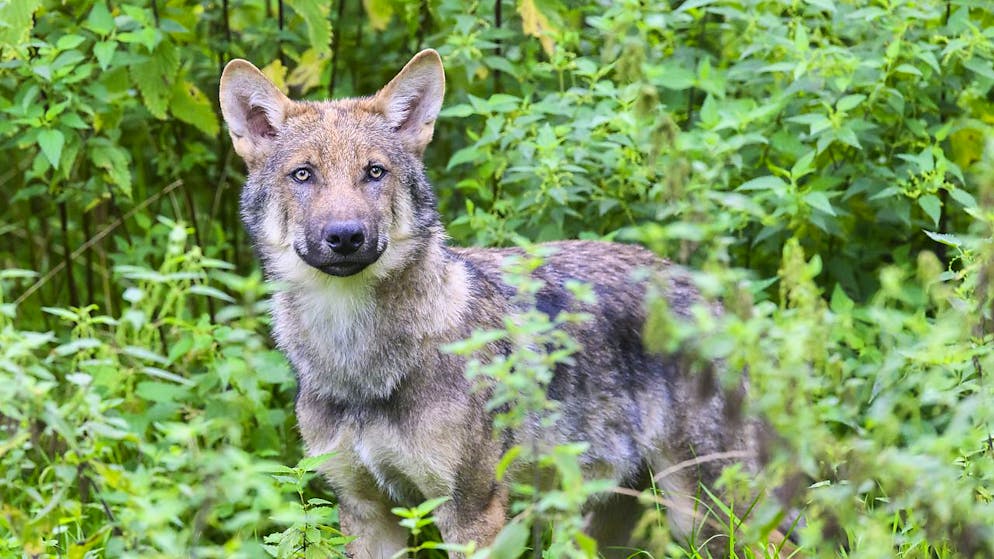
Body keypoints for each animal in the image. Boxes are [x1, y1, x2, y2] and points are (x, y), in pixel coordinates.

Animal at [219, 49, 765, 558]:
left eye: (374, 172)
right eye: (303, 175)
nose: (346, 236)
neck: (358, 362)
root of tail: (707, 292)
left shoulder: (471, 511)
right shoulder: (365, 512)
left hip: (705, 515)